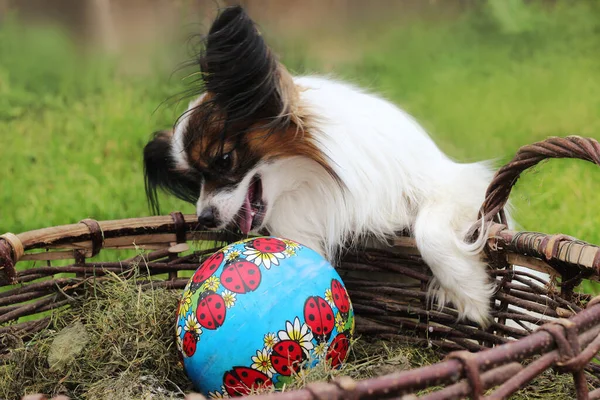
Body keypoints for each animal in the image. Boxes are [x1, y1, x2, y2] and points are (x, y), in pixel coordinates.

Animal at [145, 6, 502, 326]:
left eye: (223, 159)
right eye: (194, 179)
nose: (206, 218)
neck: (311, 182)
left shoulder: (457, 187)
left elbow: (429, 233)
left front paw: (472, 297)